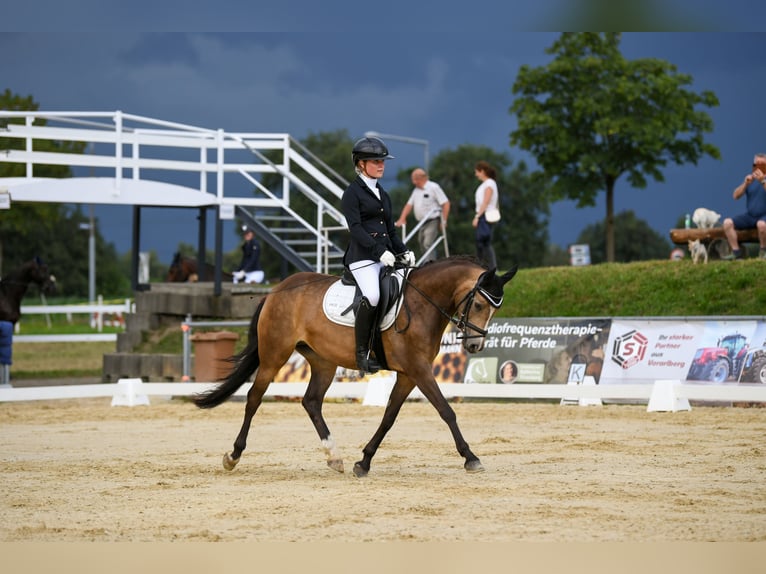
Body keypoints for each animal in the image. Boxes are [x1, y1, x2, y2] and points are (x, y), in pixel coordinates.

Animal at [195, 258, 520, 480]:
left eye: (496, 309)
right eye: (478, 304)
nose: (475, 346)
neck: (422, 303)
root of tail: (276, 290)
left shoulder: (408, 374)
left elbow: (389, 417)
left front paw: (363, 462)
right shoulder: (419, 370)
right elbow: (446, 411)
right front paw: (471, 457)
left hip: (323, 361)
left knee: (311, 402)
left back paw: (334, 457)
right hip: (275, 354)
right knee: (254, 398)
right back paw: (233, 455)